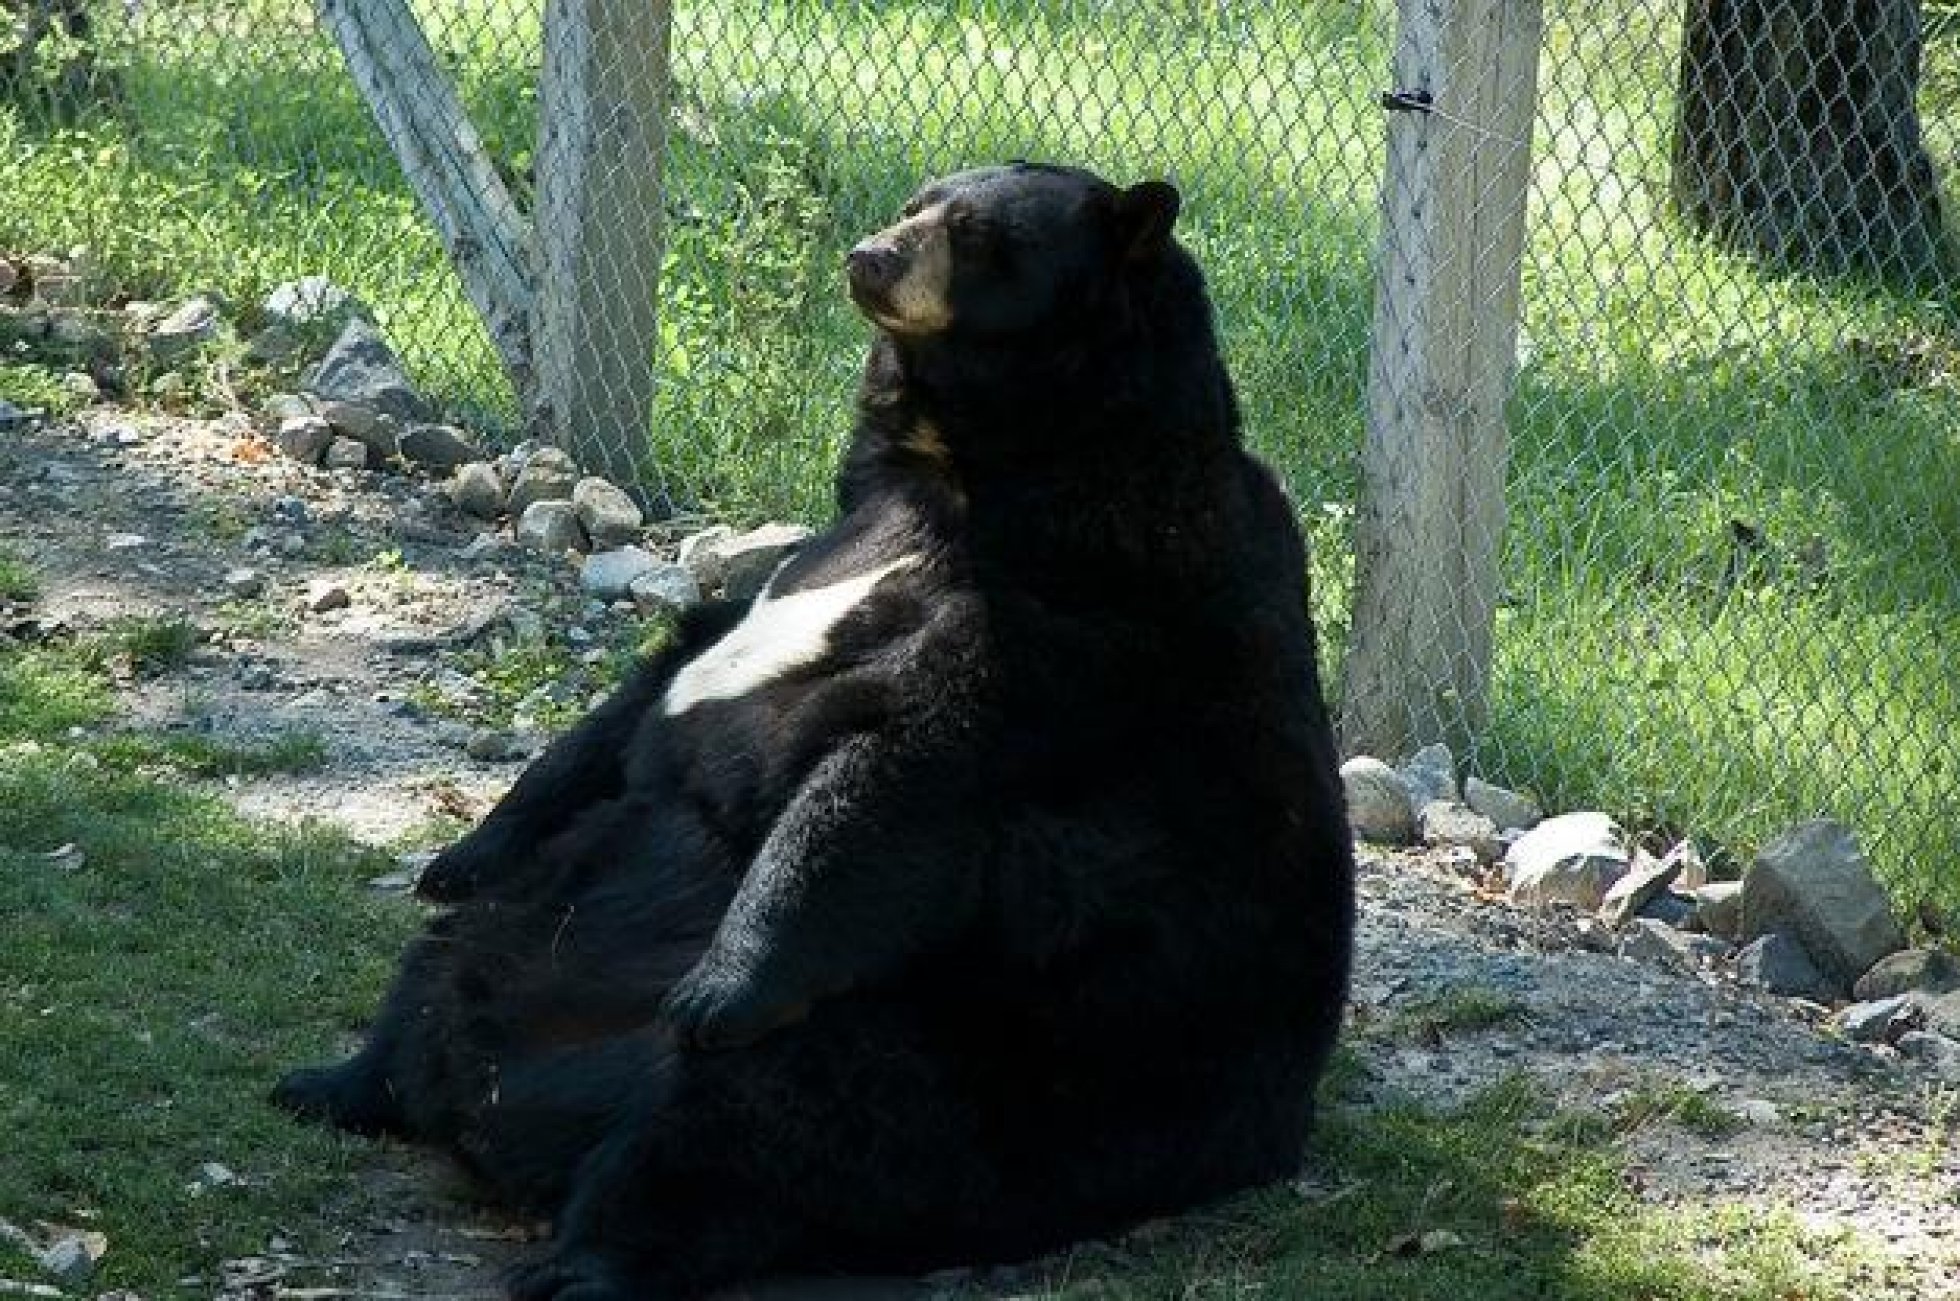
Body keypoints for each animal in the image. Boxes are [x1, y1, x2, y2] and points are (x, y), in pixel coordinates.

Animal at [276, 162, 1356, 1301]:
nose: (871, 255)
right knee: (436, 972)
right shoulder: (824, 546)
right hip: (530, 925)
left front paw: (719, 983)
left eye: (977, 234)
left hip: (937, 1060)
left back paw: (583, 1255)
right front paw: (459, 851)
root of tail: (501, 1120)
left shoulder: (1089, 626)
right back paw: (337, 1077)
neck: (968, 475)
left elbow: (895, 777)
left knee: (726, 1133)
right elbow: (653, 685)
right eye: (921, 197)